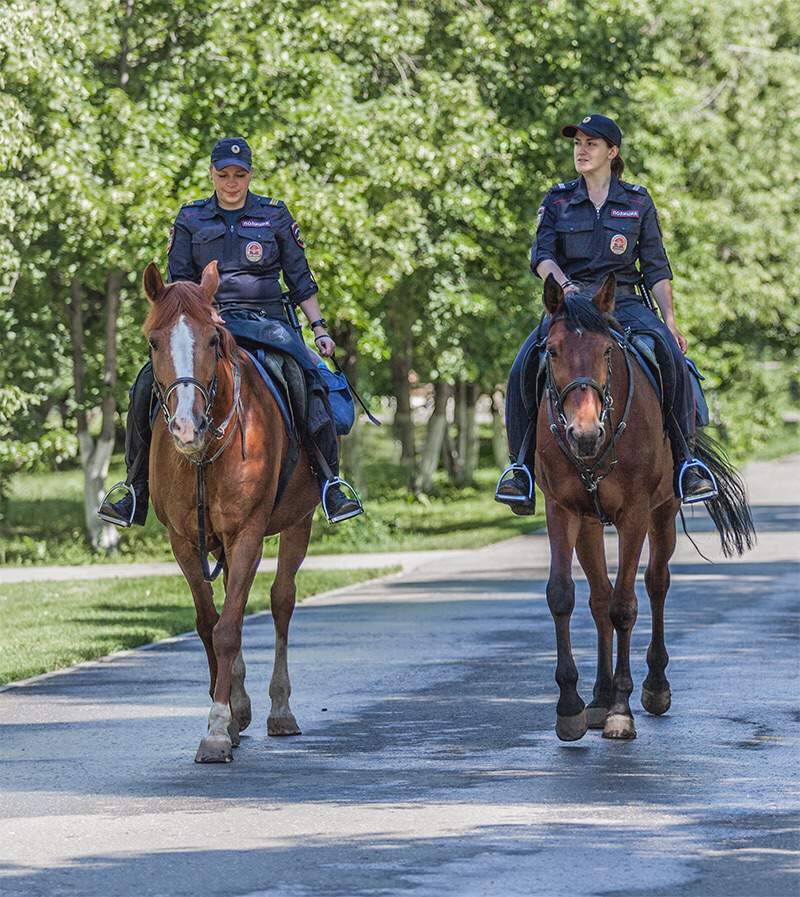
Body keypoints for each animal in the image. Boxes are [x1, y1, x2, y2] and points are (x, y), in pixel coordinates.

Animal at [144, 260, 318, 764]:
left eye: (212, 340)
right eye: (153, 342)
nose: (186, 426)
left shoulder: (247, 535)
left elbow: (229, 628)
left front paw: (218, 729)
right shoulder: (184, 541)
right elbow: (209, 624)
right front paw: (228, 714)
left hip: (298, 523)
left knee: (281, 602)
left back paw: (279, 709)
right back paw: (241, 706)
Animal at [536, 272, 752, 744]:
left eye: (606, 351)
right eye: (553, 350)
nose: (584, 434)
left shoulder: (635, 513)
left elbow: (625, 605)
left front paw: (621, 710)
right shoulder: (562, 510)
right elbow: (564, 596)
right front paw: (570, 707)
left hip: (663, 513)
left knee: (655, 583)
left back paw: (654, 686)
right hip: (590, 524)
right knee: (598, 597)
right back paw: (597, 699)